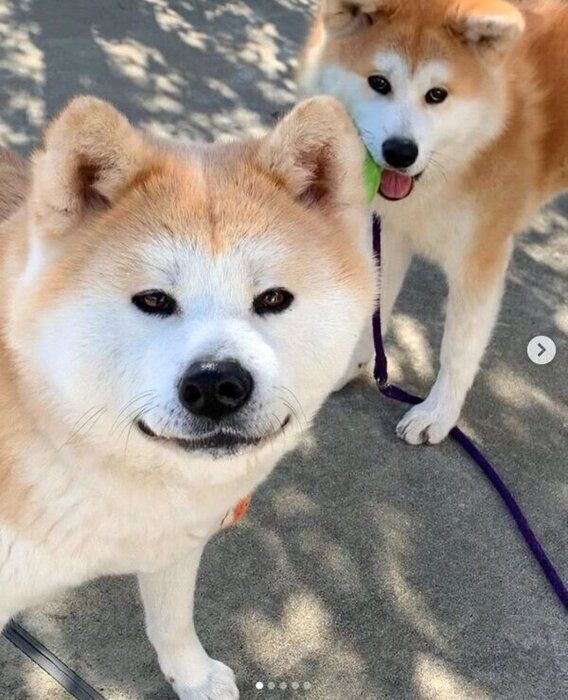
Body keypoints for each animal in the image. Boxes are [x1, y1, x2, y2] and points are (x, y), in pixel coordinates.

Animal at [0, 97, 378, 700]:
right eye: (154, 300)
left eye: (273, 298)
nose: (216, 385)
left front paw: (193, 677)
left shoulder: (175, 540)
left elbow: (172, 621)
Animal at [300, 1, 564, 442]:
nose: (400, 151)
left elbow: (458, 350)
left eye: (437, 95)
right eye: (379, 83)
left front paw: (439, 412)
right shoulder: (390, 231)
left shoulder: (481, 258)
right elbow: (375, 307)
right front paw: (354, 365)